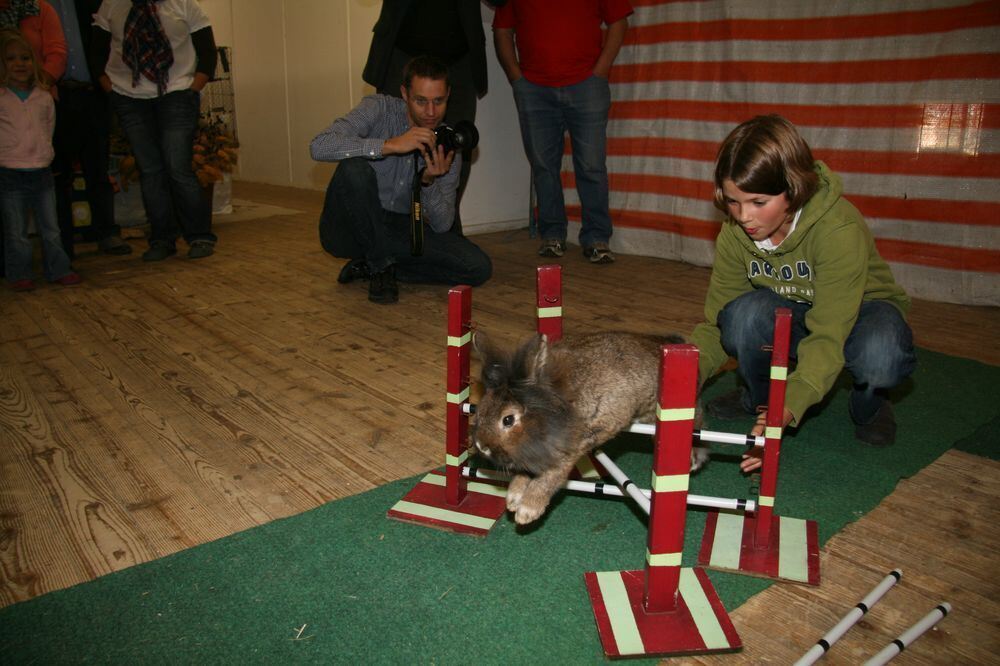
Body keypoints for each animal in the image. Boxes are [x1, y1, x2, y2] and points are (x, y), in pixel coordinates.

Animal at [472, 330, 708, 524]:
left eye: (508, 420)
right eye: (481, 408)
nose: (481, 445)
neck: (553, 407)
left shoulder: (575, 443)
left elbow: (551, 475)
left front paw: (527, 510)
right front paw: (513, 498)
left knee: (698, 421)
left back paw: (694, 458)